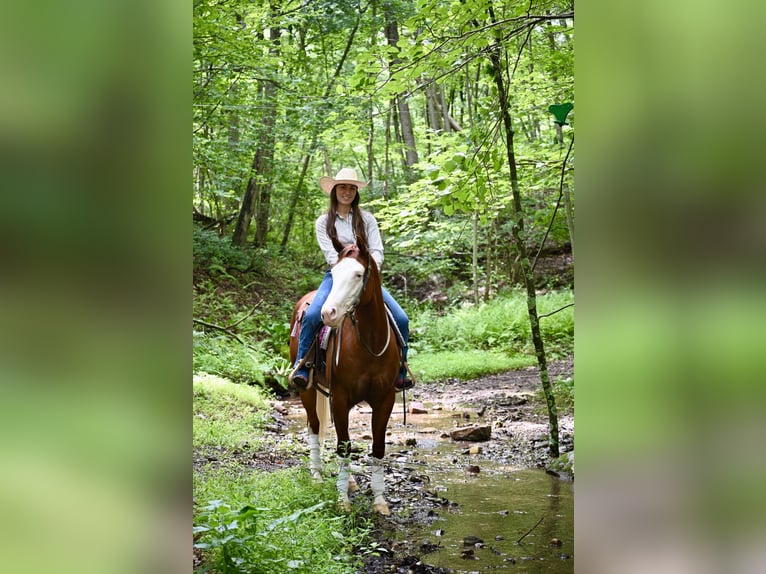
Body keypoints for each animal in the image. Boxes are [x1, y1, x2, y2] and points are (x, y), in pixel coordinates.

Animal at [289, 243, 400, 515]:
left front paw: (379, 501)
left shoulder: (385, 399)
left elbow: (377, 446)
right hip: (307, 390)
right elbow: (342, 446)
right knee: (315, 425)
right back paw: (317, 475)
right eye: (334, 273)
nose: (328, 313)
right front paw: (342, 501)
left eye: (359, 275)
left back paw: (349, 481)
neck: (369, 343)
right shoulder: (340, 397)